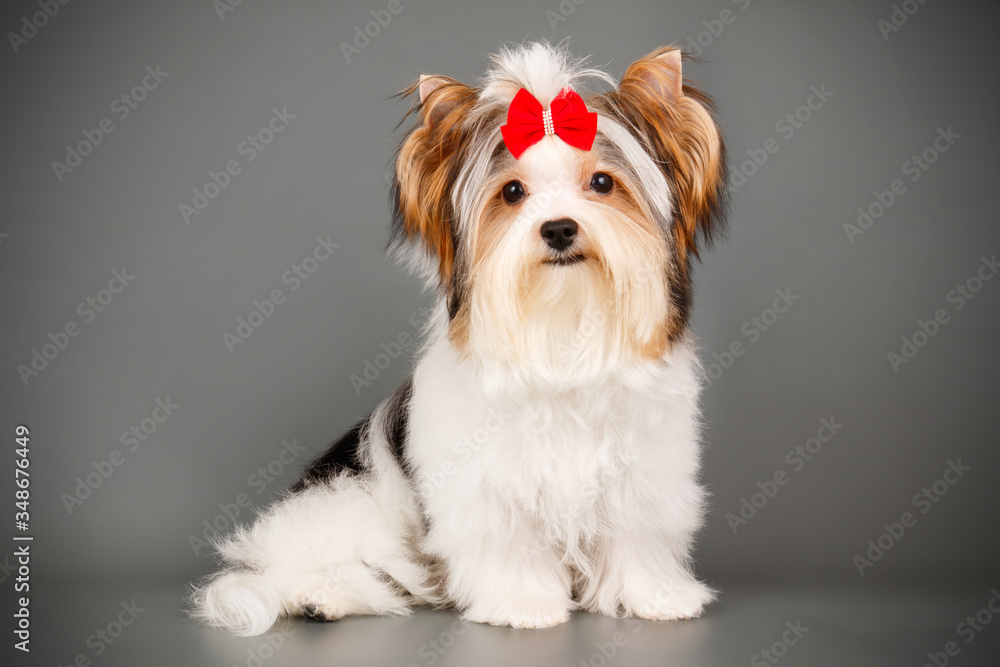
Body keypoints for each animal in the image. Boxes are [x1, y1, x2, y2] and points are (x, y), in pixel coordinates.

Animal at [193, 41, 728, 636]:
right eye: (512, 192)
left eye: (603, 183)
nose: (559, 228)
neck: (563, 329)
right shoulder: (486, 480)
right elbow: (505, 538)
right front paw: (523, 604)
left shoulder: (641, 471)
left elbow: (637, 534)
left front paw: (655, 597)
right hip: (346, 506)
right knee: (315, 566)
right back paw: (319, 596)